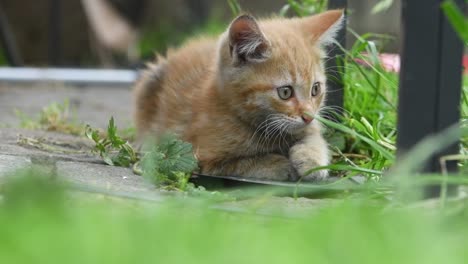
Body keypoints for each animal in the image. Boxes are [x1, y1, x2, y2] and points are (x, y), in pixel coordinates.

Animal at [134, 9, 344, 182]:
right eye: (285, 92)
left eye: (315, 89)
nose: (308, 116)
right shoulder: (203, 159)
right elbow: (246, 163)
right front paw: (280, 164)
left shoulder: (310, 127)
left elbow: (315, 139)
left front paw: (311, 160)